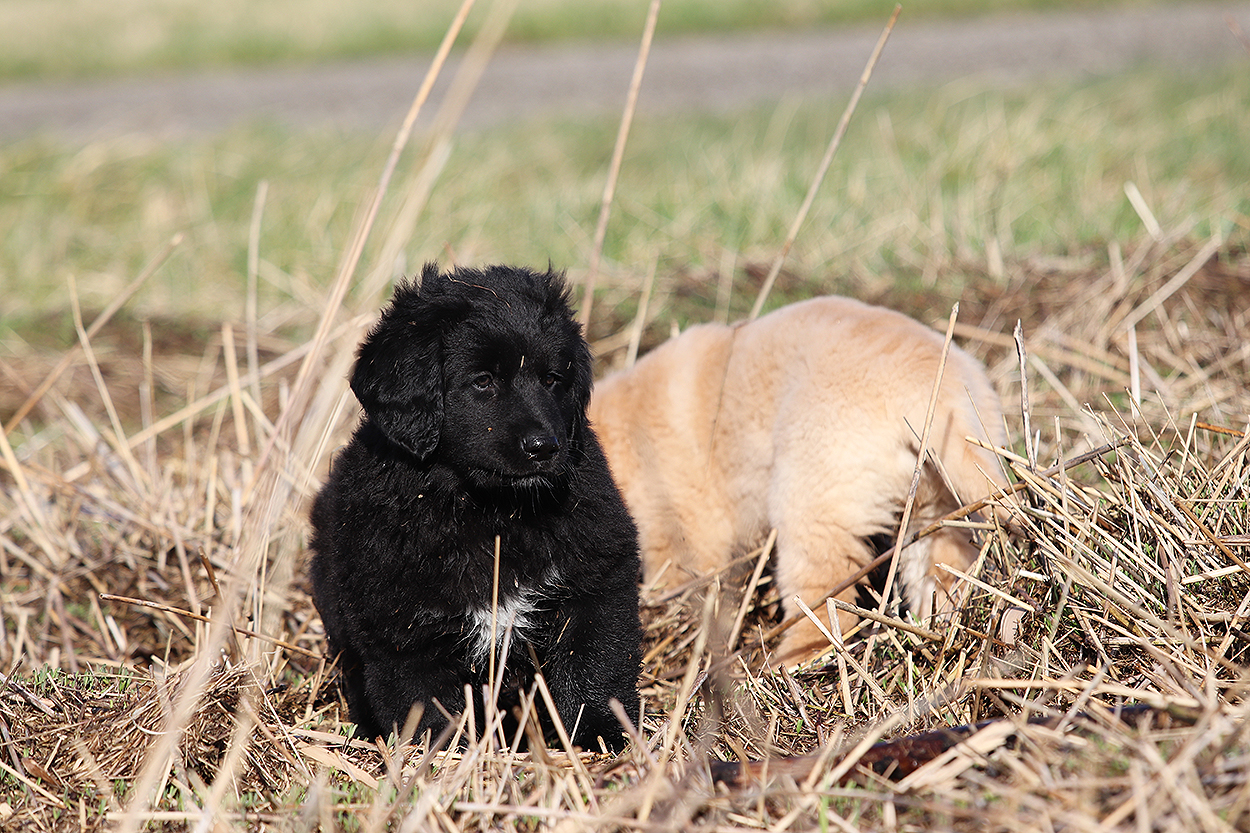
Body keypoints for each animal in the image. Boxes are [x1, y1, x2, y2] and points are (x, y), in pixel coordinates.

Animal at [309, 263, 642, 749]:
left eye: (552, 379)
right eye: (483, 381)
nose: (544, 447)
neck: (493, 512)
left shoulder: (597, 584)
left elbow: (594, 668)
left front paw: (600, 737)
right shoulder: (404, 628)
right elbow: (425, 703)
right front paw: (442, 755)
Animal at [588, 295, 1009, 666]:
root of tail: (936, 391)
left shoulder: (681, 531)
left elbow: (675, 582)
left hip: (811, 495)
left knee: (825, 601)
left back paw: (785, 664)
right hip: (935, 502)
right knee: (946, 569)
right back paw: (935, 624)